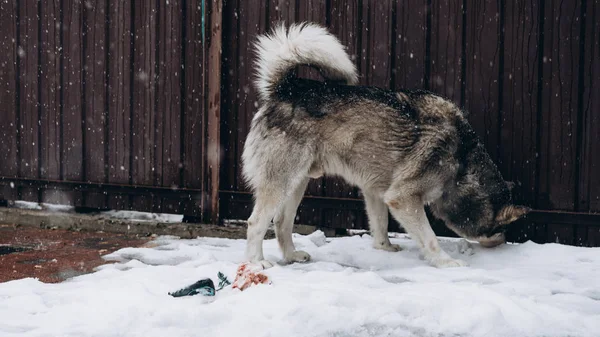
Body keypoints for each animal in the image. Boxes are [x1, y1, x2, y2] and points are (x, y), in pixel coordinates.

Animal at [240, 22, 528, 266]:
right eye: (501, 229)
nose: (505, 243)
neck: (462, 160)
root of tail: (287, 88)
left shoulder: (375, 190)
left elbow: (380, 224)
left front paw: (385, 248)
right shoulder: (403, 197)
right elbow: (430, 238)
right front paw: (446, 262)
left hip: (297, 183)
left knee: (281, 222)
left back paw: (291, 255)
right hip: (281, 182)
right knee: (256, 223)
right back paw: (257, 262)